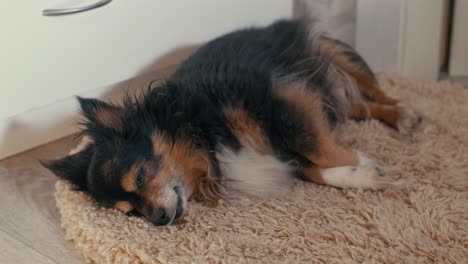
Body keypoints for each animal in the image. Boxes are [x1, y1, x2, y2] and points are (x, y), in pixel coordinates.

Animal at [44, 19, 422, 225]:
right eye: (130, 212)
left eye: (139, 176)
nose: (159, 220)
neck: (201, 131)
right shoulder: (281, 151)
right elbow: (318, 170)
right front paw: (367, 176)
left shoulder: (286, 96)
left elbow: (321, 150)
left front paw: (367, 163)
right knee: (360, 106)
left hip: (329, 51)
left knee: (376, 92)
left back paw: (406, 115)